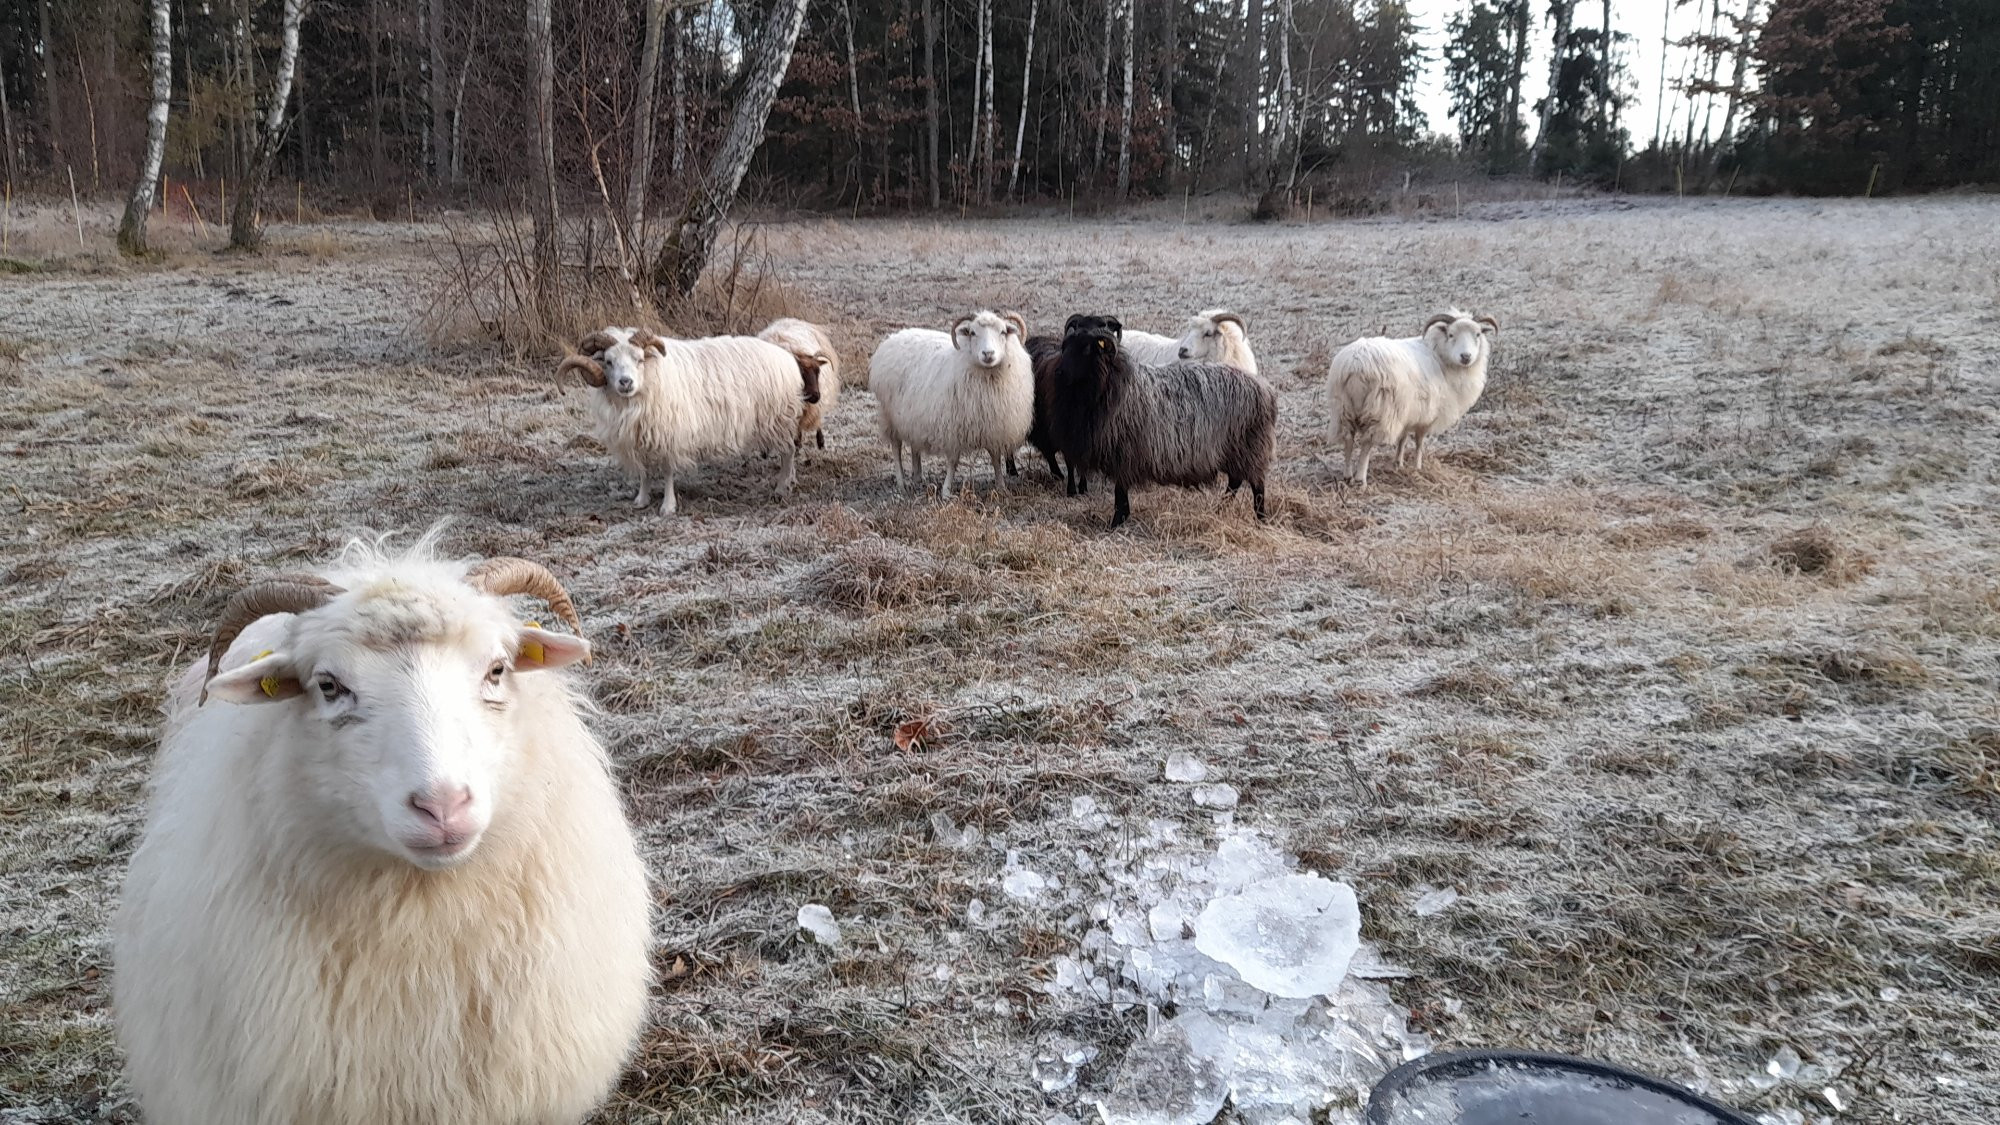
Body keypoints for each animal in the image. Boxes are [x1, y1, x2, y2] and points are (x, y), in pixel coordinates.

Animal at [558, 326, 820, 515]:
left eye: (640, 359)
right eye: (608, 361)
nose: (625, 382)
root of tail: (788, 356)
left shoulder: (671, 434)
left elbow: (667, 472)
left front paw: (668, 507)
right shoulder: (641, 436)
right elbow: (644, 471)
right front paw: (641, 499)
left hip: (779, 420)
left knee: (788, 452)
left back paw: (782, 487)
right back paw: (790, 482)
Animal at [868, 309, 1034, 496]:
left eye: (1003, 332)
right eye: (972, 333)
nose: (988, 354)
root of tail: (893, 337)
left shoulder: (994, 427)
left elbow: (995, 458)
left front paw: (1001, 486)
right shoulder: (954, 429)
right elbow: (953, 461)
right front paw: (947, 491)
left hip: (913, 416)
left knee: (914, 446)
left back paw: (917, 476)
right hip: (889, 416)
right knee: (896, 448)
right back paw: (901, 482)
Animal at [1052, 314, 1278, 529]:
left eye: (1086, 348)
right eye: (1066, 344)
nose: (1060, 372)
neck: (1112, 383)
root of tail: (1264, 389)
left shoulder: (1124, 454)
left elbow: (1120, 494)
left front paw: (1115, 523)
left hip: (1250, 447)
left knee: (1257, 486)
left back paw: (1260, 519)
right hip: (1234, 451)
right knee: (1236, 480)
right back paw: (1221, 508)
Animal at [1328, 308, 1499, 486]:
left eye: (1478, 334)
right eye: (1451, 334)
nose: (1466, 356)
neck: (1439, 354)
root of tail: (1356, 364)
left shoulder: (1406, 412)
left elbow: (1402, 439)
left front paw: (1398, 463)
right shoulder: (1426, 415)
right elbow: (1419, 442)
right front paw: (1418, 467)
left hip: (1343, 408)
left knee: (1348, 438)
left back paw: (1347, 476)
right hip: (1379, 410)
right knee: (1367, 442)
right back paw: (1361, 479)